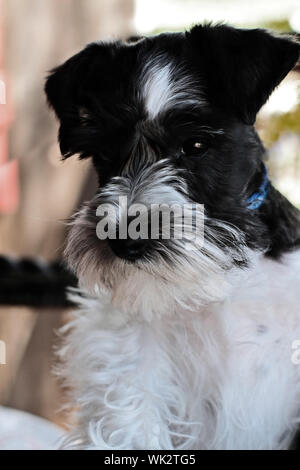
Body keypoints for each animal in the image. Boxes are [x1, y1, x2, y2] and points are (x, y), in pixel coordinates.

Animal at [45, 23, 300, 450]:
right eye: (105, 154)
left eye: (196, 145)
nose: (125, 241)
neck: (227, 280)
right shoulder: (128, 354)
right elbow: (132, 424)